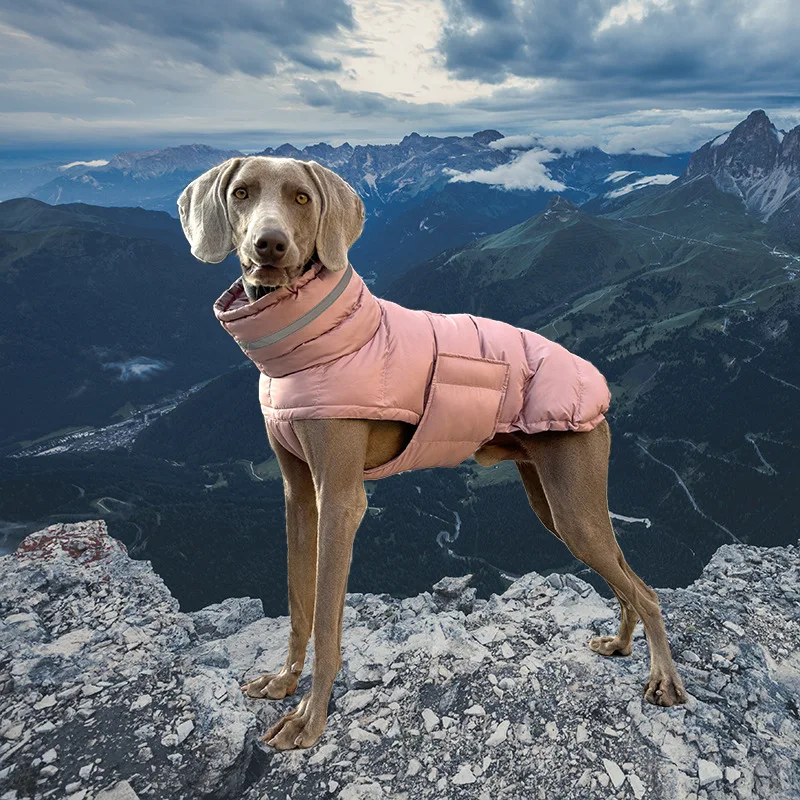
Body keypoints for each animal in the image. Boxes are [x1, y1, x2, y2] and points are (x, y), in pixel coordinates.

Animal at [177, 155, 688, 752]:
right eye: (241, 193)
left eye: (302, 197)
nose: (270, 245)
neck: (314, 343)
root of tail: (597, 384)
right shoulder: (299, 496)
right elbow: (300, 603)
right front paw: (284, 681)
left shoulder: (342, 501)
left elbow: (327, 618)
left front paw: (310, 717)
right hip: (554, 503)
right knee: (627, 576)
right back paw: (620, 644)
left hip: (574, 506)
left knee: (647, 591)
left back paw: (664, 681)